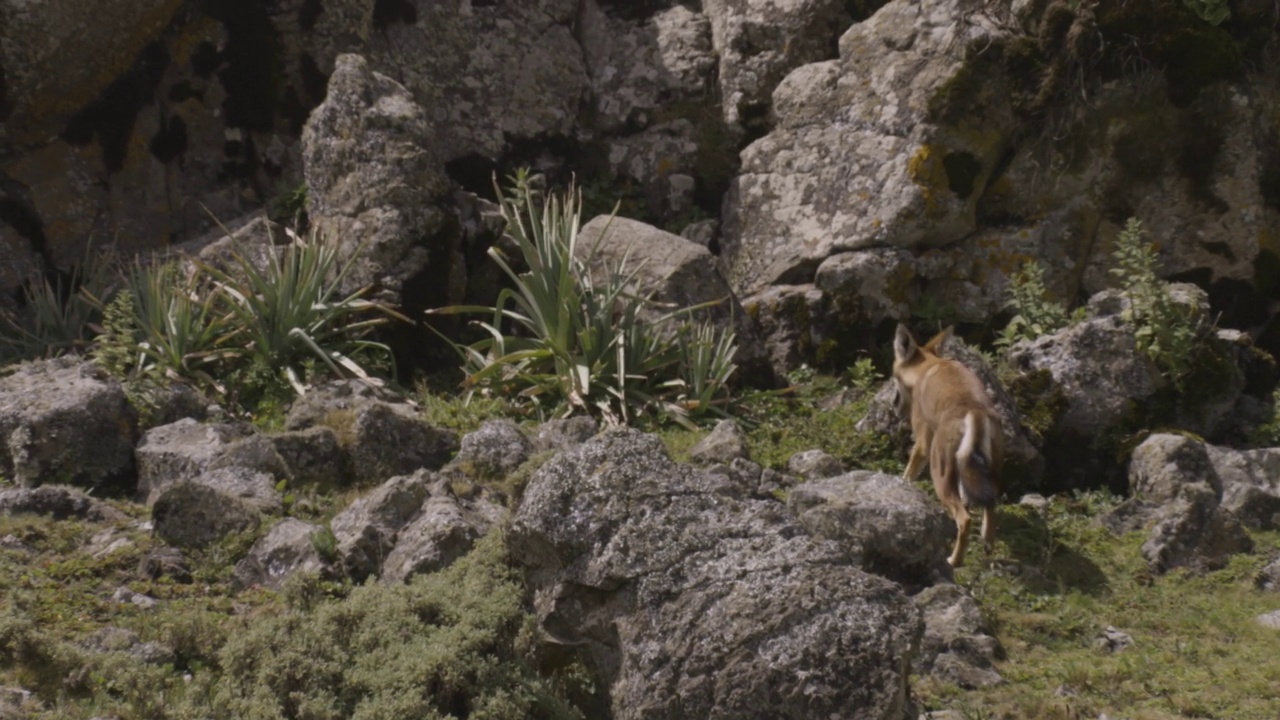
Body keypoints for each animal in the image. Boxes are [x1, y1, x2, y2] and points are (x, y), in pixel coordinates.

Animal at [890, 325, 998, 566]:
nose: (893, 406)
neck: (927, 368)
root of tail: (975, 411)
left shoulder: (922, 442)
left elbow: (907, 475)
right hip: (987, 472)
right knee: (990, 508)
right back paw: (987, 547)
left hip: (939, 473)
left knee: (964, 520)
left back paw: (953, 561)